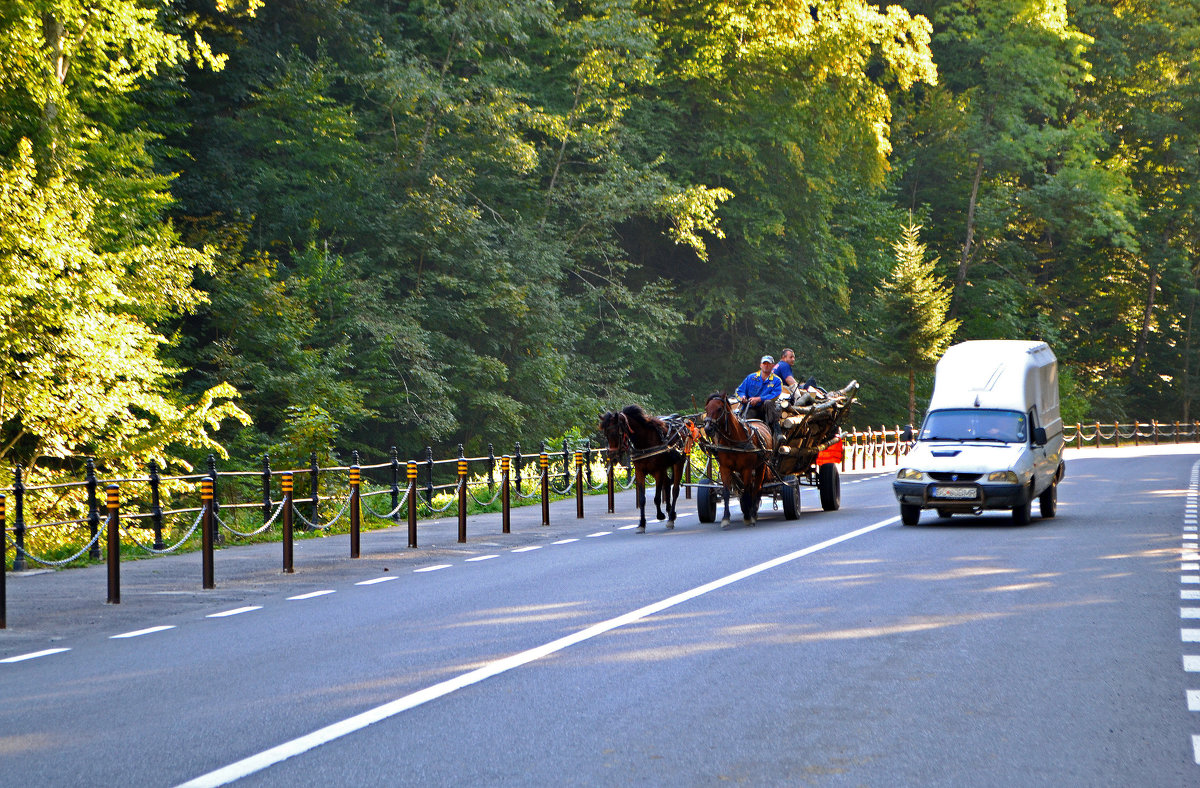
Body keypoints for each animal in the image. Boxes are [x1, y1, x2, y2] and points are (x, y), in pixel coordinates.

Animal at [600, 402, 696, 532]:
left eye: (616, 433)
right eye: (606, 434)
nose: (612, 455)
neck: (645, 441)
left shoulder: (658, 470)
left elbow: (657, 497)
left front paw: (660, 515)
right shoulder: (640, 471)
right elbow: (642, 499)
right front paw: (641, 523)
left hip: (678, 463)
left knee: (675, 490)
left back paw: (671, 517)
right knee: (667, 484)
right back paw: (669, 510)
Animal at [700, 391, 772, 525]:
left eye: (719, 408)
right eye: (706, 408)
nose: (707, 429)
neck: (734, 442)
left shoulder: (747, 469)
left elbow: (748, 491)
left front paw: (749, 516)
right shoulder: (725, 468)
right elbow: (727, 492)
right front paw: (725, 518)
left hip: (762, 466)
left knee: (757, 488)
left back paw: (753, 512)